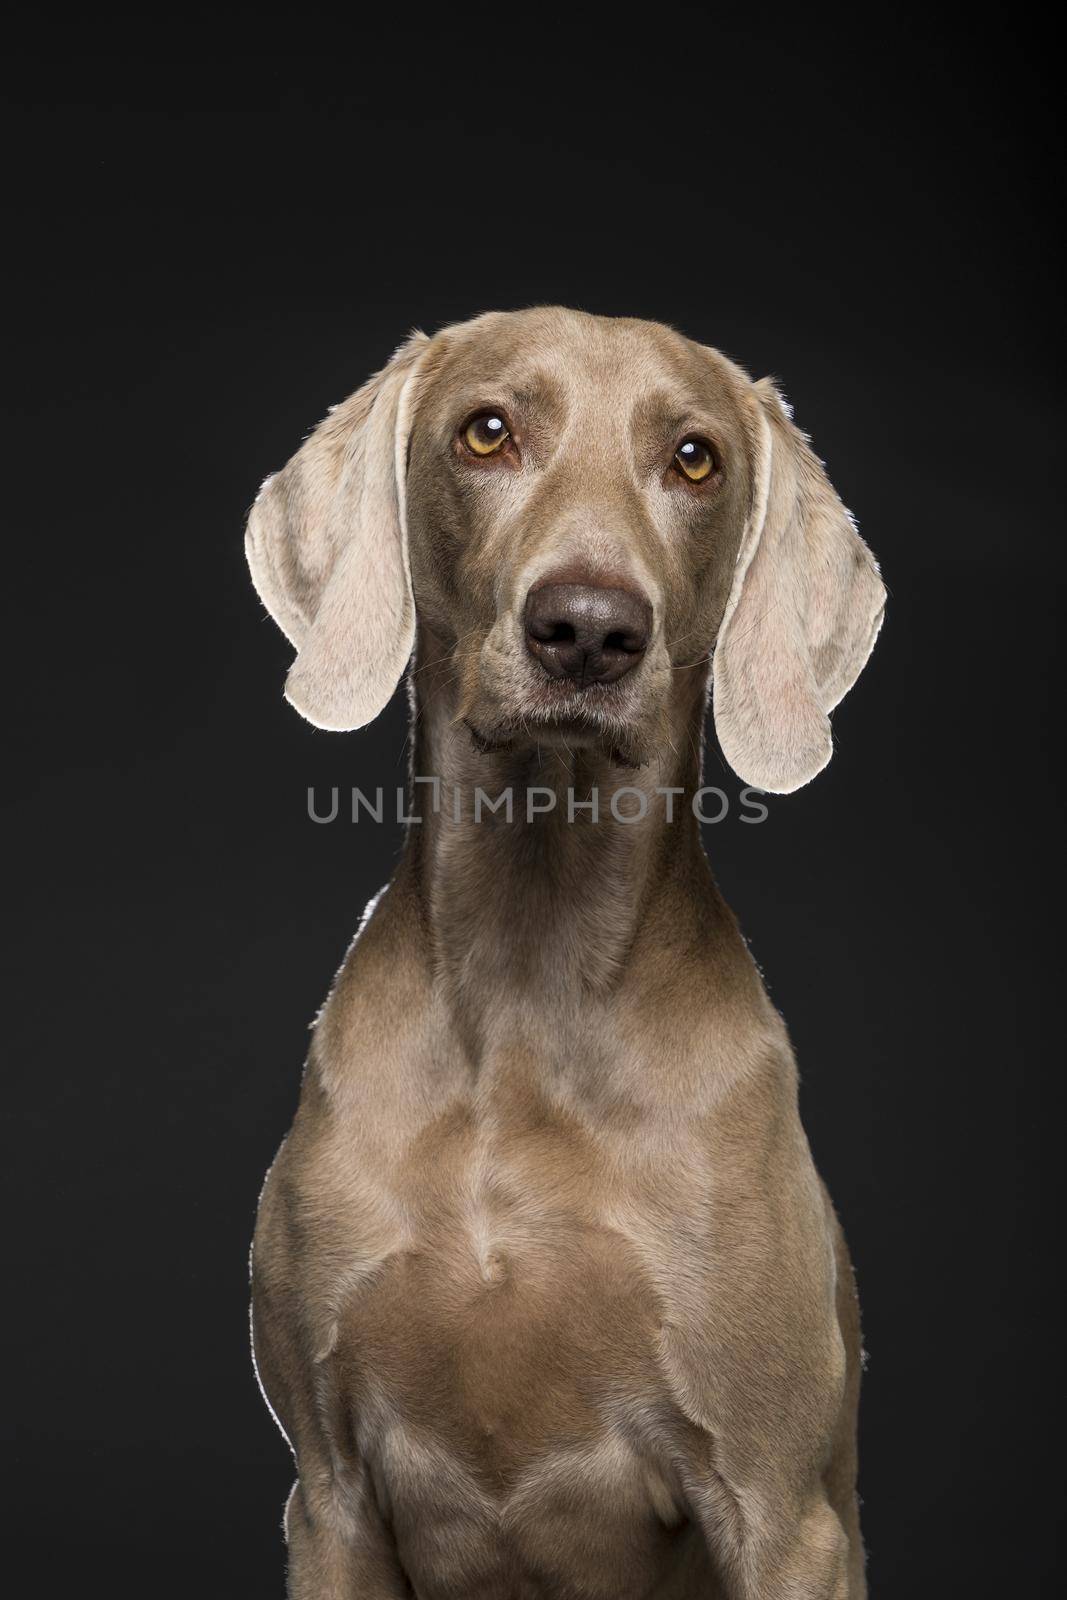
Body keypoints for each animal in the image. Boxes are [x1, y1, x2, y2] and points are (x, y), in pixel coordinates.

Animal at [247, 305, 883, 1593]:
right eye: (485, 431)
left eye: (694, 458)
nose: (588, 630)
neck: (527, 987)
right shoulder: (327, 1495)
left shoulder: (778, 1508)